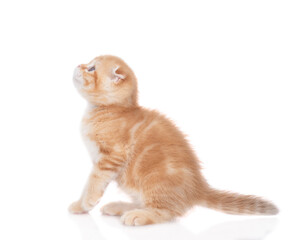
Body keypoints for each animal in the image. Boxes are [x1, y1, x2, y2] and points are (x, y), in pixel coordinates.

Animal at [69, 55, 278, 226]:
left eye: (91, 69)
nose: (78, 64)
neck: (110, 110)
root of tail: (198, 188)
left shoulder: (111, 156)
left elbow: (93, 182)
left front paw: (83, 204)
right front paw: (82, 204)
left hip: (155, 181)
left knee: (165, 212)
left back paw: (138, 215)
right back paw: (120, 207)